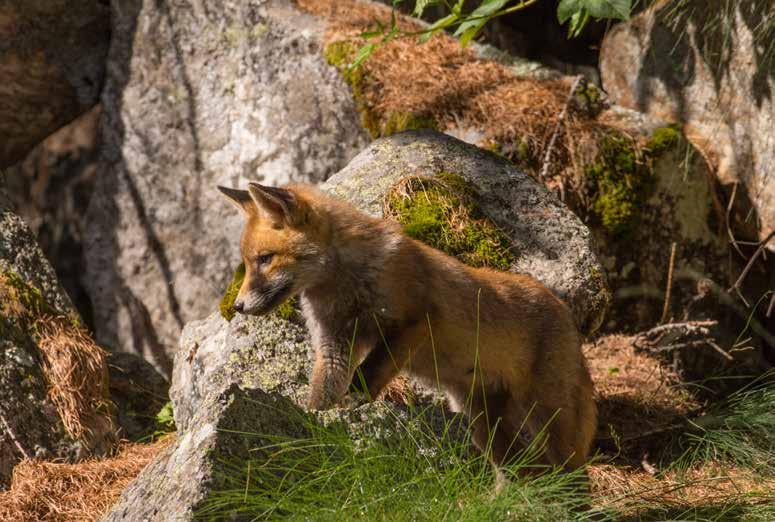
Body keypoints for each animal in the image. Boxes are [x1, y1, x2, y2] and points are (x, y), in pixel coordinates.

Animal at [218, 181, 600, 470]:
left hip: (548, 418)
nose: (237, 306)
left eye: (265, 259)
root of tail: (566, 312)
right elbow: (323, 393)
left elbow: (370, 373)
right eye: (249, 263)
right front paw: (317, 419)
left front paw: (354, 405)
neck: (343, 287)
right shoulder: (334, 341)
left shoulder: (414, 323)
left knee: (568, 473)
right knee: (522, 470)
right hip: (483, 424)